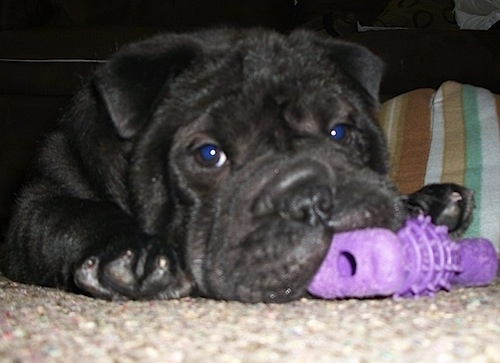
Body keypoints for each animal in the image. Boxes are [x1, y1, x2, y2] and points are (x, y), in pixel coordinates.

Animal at [0, 28, 472, 302]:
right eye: (209, 155)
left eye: (339, 131)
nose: (314, 197)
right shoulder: (38, 204)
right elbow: (74, 214)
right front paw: (132, 255)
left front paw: (424, 203)